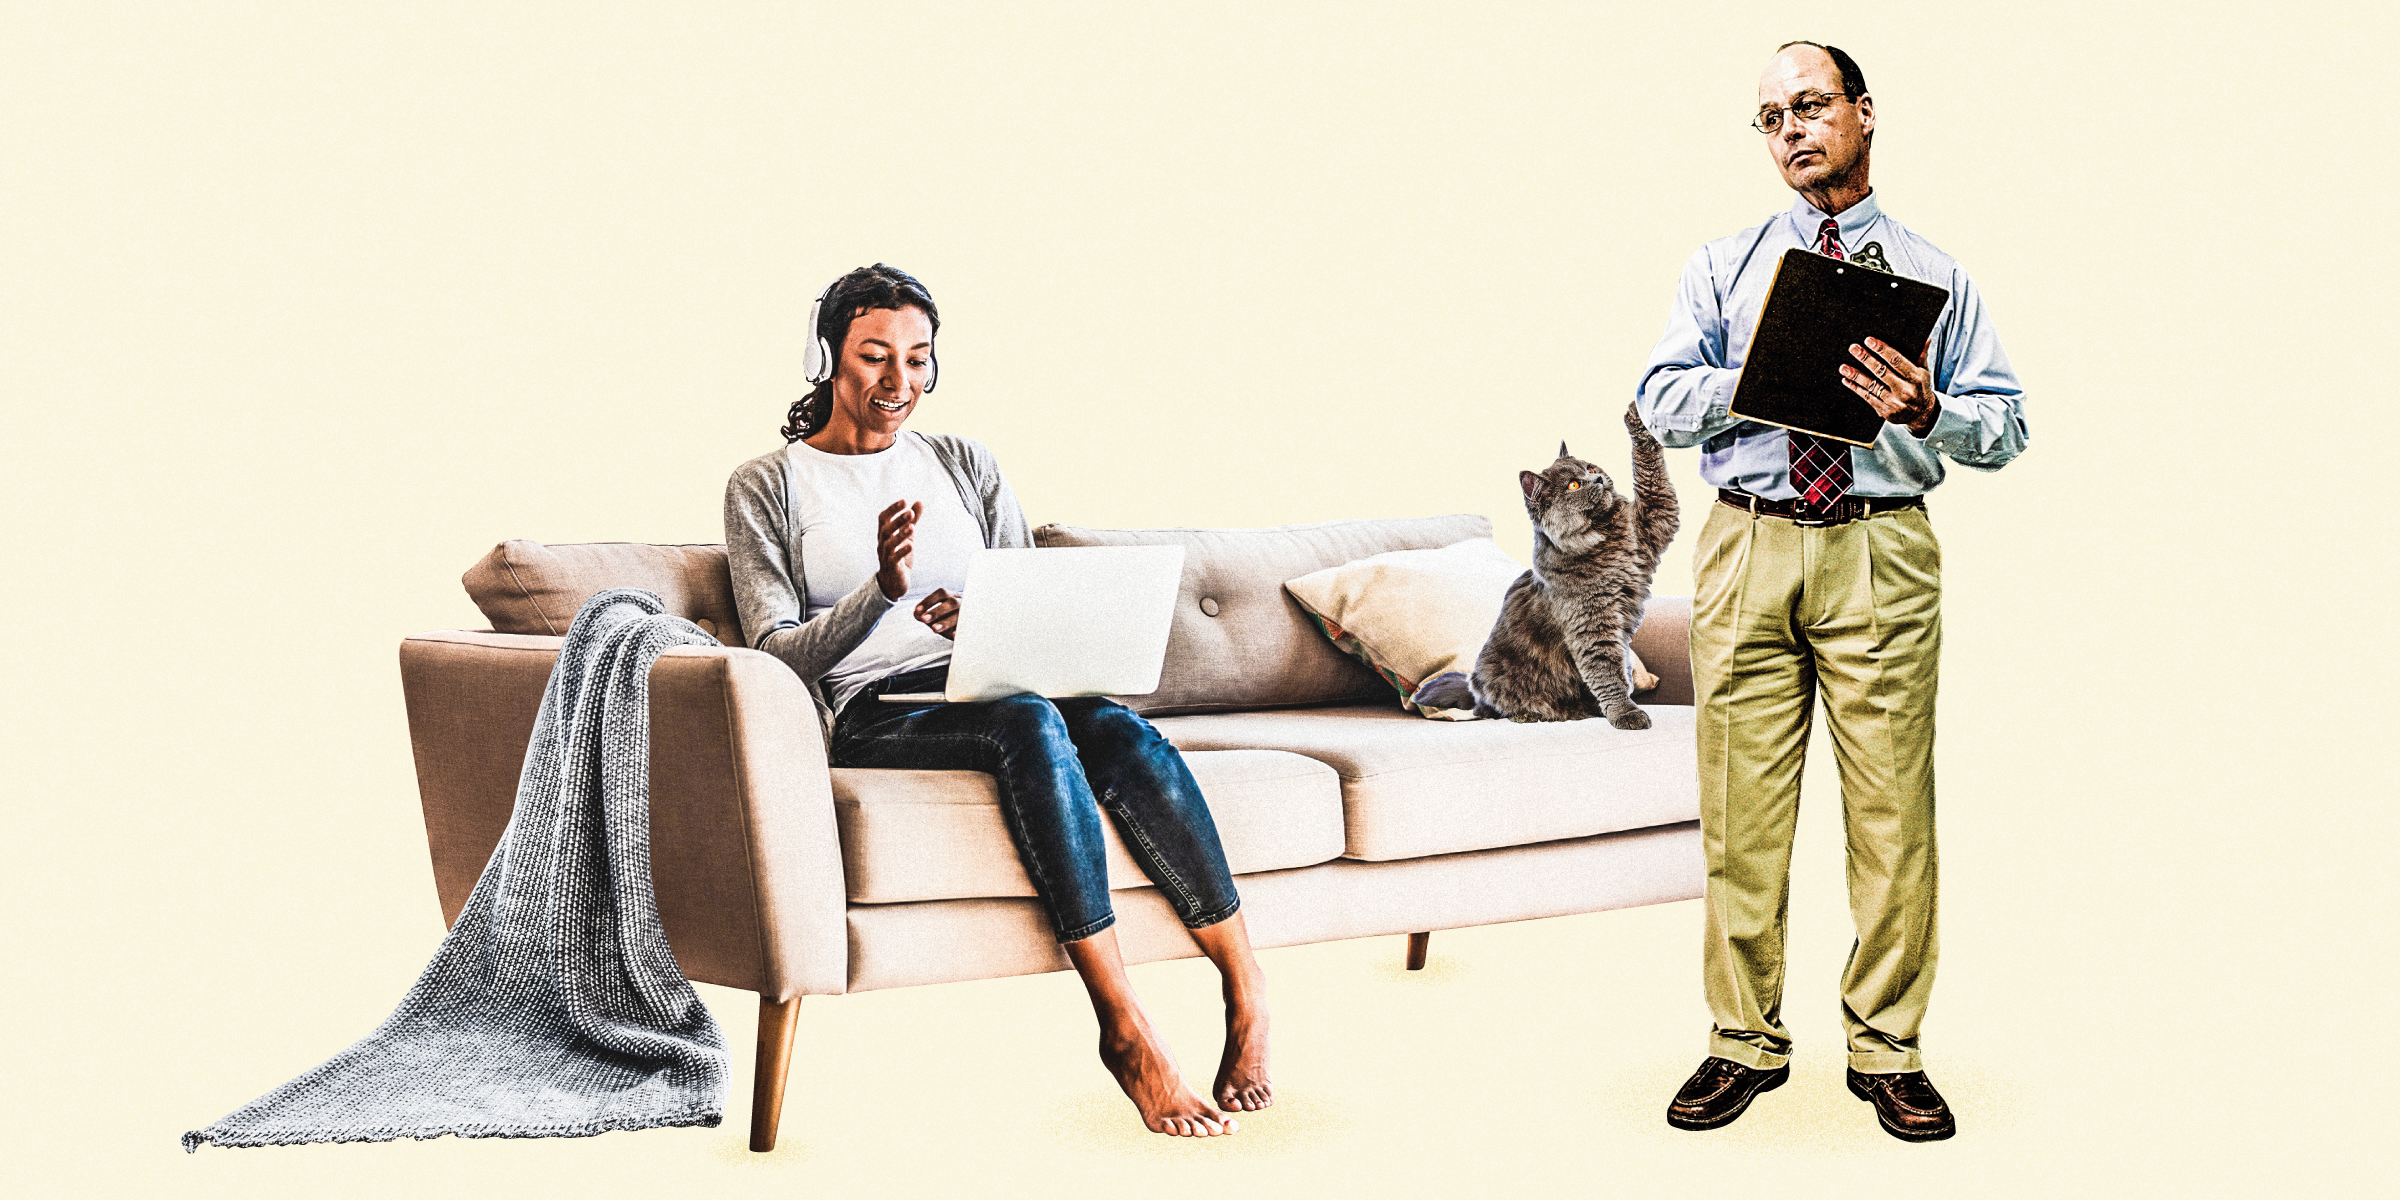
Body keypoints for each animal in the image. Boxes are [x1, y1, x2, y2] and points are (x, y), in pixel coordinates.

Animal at [1411, 403, 1680, 724]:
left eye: (1590, 469)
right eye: (1574, 485)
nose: (1598, 480)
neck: (1605, 537)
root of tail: (1472, 691)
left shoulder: (1654, 519)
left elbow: (1650, 470)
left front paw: (1638, 416)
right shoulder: (1592, 626)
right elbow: (1608, 674)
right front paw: (1625, 713)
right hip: (1491, 677)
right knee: (1492, 709)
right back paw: (1533, 714)